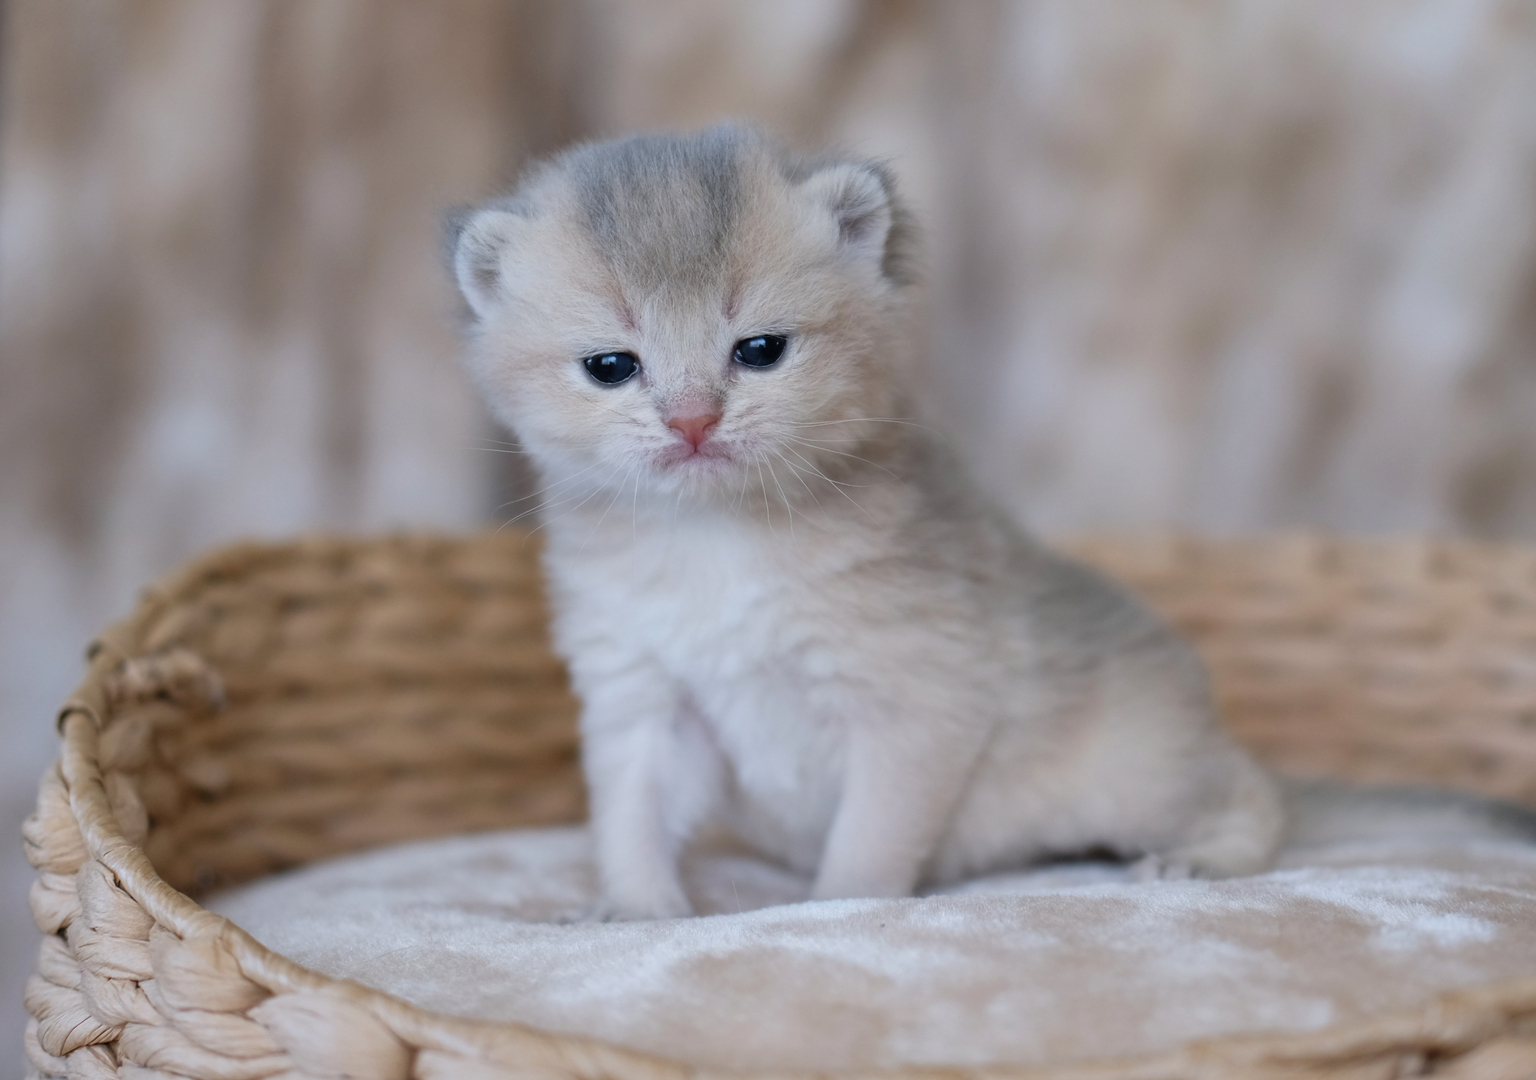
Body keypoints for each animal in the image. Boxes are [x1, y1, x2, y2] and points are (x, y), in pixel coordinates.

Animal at [448, 124, 1284, 921]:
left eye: (760, 350)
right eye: (611, 366)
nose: (691, 422)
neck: (714, 537)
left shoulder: (911, 704)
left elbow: (869, 842)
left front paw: (837, 910)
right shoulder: (644, 699)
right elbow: (631, 818)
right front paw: (633, 908)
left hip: (1141, 779)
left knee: (1257, 789)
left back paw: (1199, 859)